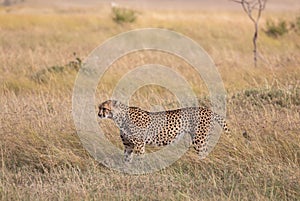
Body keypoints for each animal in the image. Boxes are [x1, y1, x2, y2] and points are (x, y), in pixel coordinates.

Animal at [98, 99, 230, 163]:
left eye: (104, 108)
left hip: (199, 140)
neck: (119, 117)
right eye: (99, 108)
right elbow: (126, 159)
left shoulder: (139, 144)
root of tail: (208, 110)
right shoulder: (128, 145)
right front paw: (126, 169)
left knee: (204, 154)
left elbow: (140, 158)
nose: (99, 114)